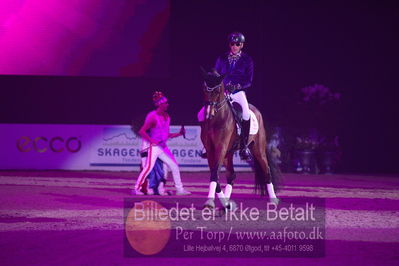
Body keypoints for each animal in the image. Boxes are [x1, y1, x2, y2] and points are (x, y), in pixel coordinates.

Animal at [200, 69, 282, 210]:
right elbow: (215, 175)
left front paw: (209, 203)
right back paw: (226, 204)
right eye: (205, 89)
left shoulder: (221, 148)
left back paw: (273, 201)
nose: (208, 114)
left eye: (217, 91)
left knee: (267, 171)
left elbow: (215, 173)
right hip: (229, 153)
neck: (216, 120)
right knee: (231, 175)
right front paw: (221, 203)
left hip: (258, 149)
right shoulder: (211, 150)